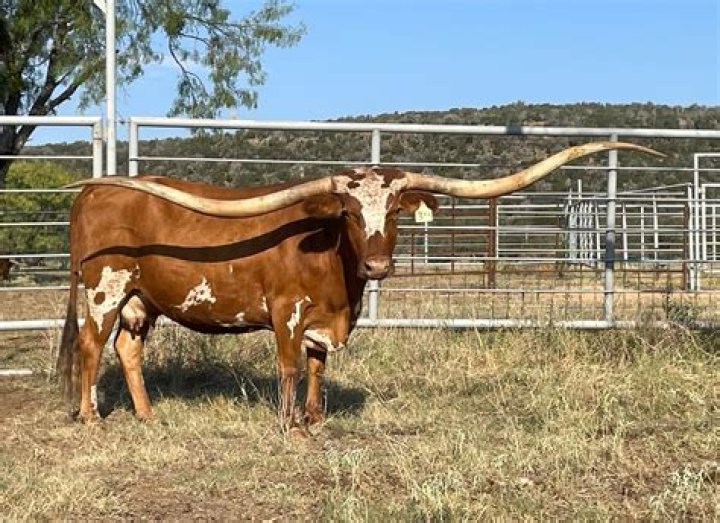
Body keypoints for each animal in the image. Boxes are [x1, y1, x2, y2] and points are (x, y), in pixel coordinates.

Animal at [56, 142, 661, 436]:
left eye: (393, 210)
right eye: (348, 211)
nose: (376, 265)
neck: (332, 265)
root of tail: (93, 191)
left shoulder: (326, 322)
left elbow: (318, 368)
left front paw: (315, 419)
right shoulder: (286, 312)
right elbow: (290, 368)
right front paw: (290, 427)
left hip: (142, 300)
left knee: (127, 348)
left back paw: (146, 415)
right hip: (104, 288)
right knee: (90, 345)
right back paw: (89, 416)